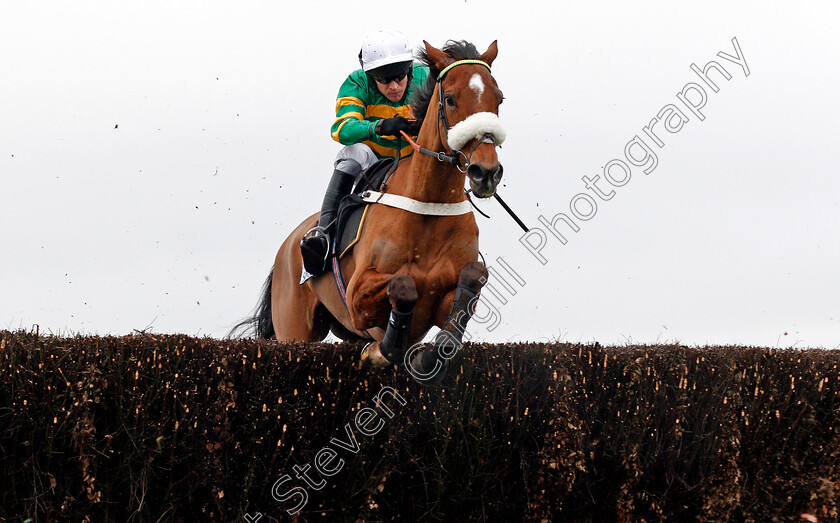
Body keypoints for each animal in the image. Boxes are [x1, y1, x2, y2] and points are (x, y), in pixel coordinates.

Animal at [240, 39, 508, 384]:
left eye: (498, 97)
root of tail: (288, 245)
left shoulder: (445, 296)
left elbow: (472, 279)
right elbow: (403, 285)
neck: (428, 207)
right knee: (354, 152)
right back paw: (317, 242)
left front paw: (426, 358)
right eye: (450, 99)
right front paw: (383, 351)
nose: (485, 172)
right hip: (294, 328)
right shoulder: (358, 297)